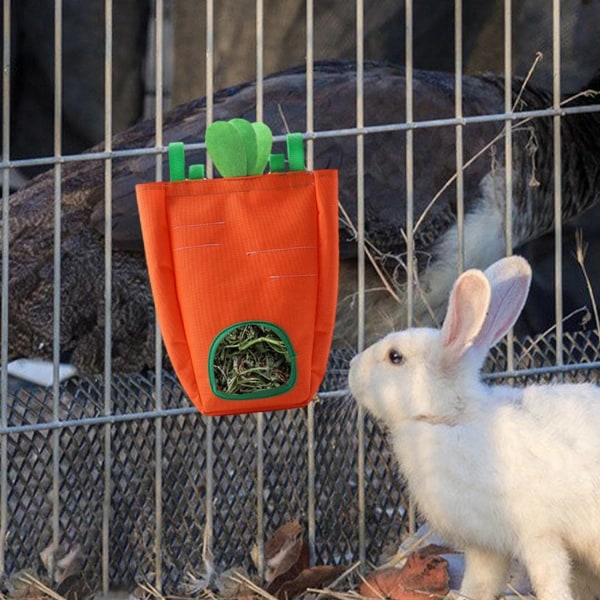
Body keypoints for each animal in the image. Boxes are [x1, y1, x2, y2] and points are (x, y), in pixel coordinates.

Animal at [346, 256, 600, 600]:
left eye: (395, 357)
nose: (351, 368)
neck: (452, 420)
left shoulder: (539, 534)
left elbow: (550, 579)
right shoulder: (486, 547)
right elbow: (479, 583)